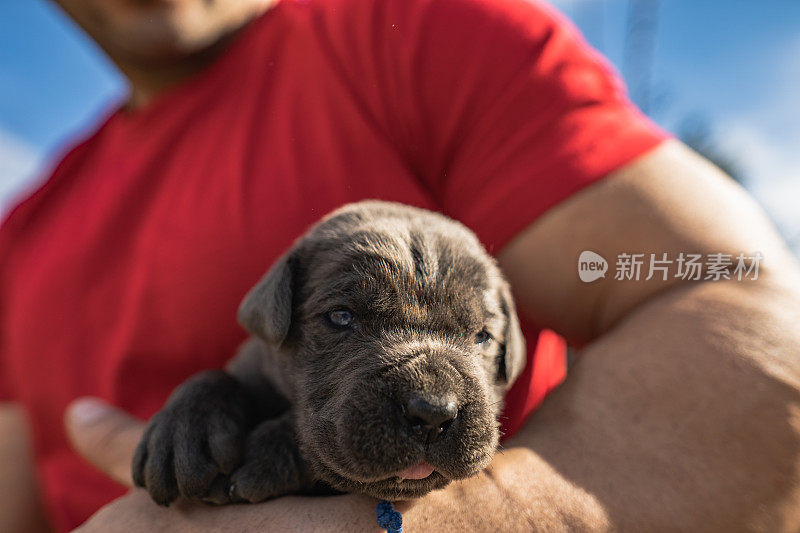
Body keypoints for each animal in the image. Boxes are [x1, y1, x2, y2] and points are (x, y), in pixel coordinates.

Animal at [134, 198, 528, 502]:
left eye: (482, 336)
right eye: (341, 317)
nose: (432, 413)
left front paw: (265, 452)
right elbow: (215, 377)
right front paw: (182, 433)